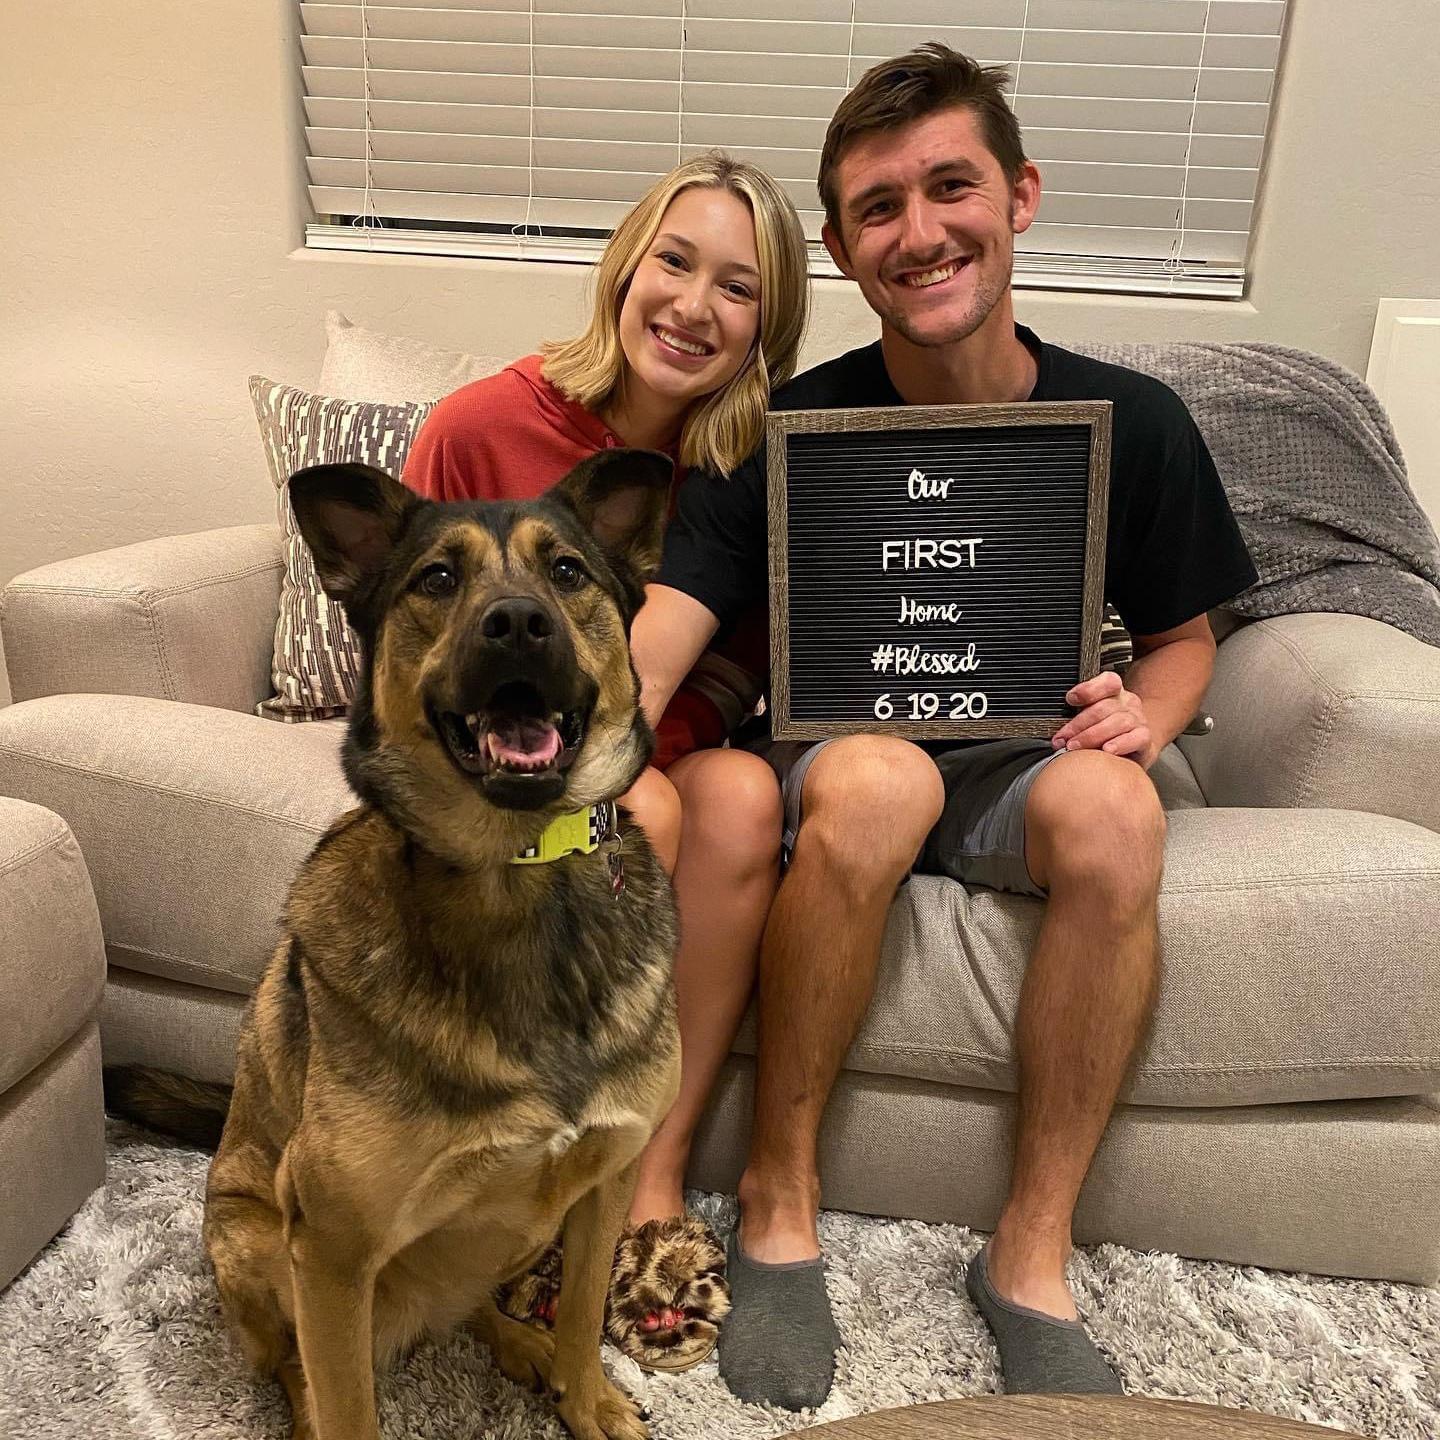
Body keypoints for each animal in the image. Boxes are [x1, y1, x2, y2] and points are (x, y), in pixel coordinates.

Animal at [110, 450, 681, 1440]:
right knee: (292, 1367)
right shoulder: (332, 1250)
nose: (517, 623)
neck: (517, 864)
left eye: (568, 571)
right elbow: (347, 1406)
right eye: (438, 580)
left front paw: (586, 1395)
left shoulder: (606, 1181)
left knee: (479, 1306)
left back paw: (520, 1344)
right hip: (257, 1243)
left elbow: (579, 1312)